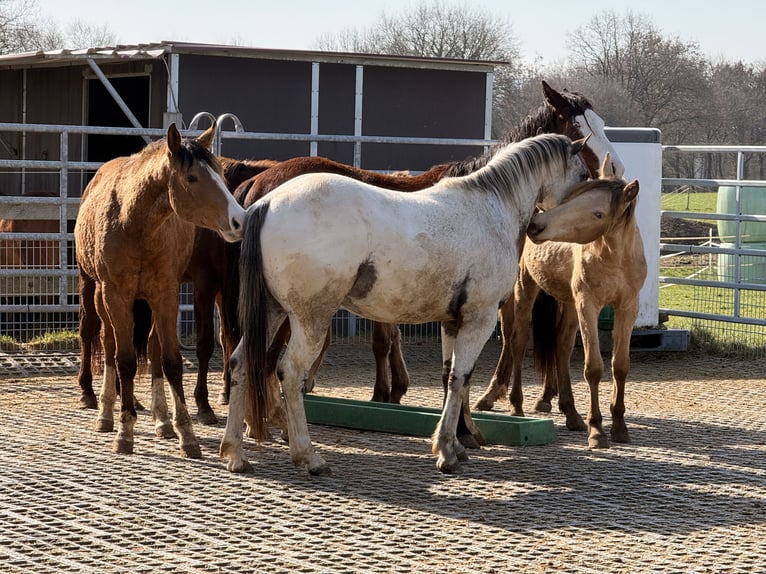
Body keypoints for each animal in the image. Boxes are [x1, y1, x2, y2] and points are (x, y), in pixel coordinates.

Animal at [74, 122, 245, 457]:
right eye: (192, 178)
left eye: (221, 174)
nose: (238, 220)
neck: (133, 222)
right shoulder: (116, 294)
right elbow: (125, 360)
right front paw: (125, 431)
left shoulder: (166, 294)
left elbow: (171, 361)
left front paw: (186, 434)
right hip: (94, 289)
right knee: (103, 340)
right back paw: (104, 411)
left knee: (152, 347)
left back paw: (162, 420)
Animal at [219, 80, 625, 447]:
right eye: (579, 126)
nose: (616, 170)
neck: (490, 202)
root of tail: (264, 197)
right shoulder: (478, 314)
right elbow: (462, 374)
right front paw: (456, 439)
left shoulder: (452, 316)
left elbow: (451, 375)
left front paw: (460, 434)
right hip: (301, 315)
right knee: (277, 368)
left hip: (273, 310)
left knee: (246, 362)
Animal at [473, 154, 645, 449]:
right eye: (574, 198)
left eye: (599, 213)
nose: (537, 226)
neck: (615, 259)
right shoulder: (588, 305)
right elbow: (593, 368)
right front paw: (597, 430)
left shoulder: (627, 308)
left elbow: (620, 366)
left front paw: (619, 427)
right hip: (525, 289)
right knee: (517, 341)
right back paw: (515, 405)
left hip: (567, 303)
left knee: (561, 346)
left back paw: (569, 411)